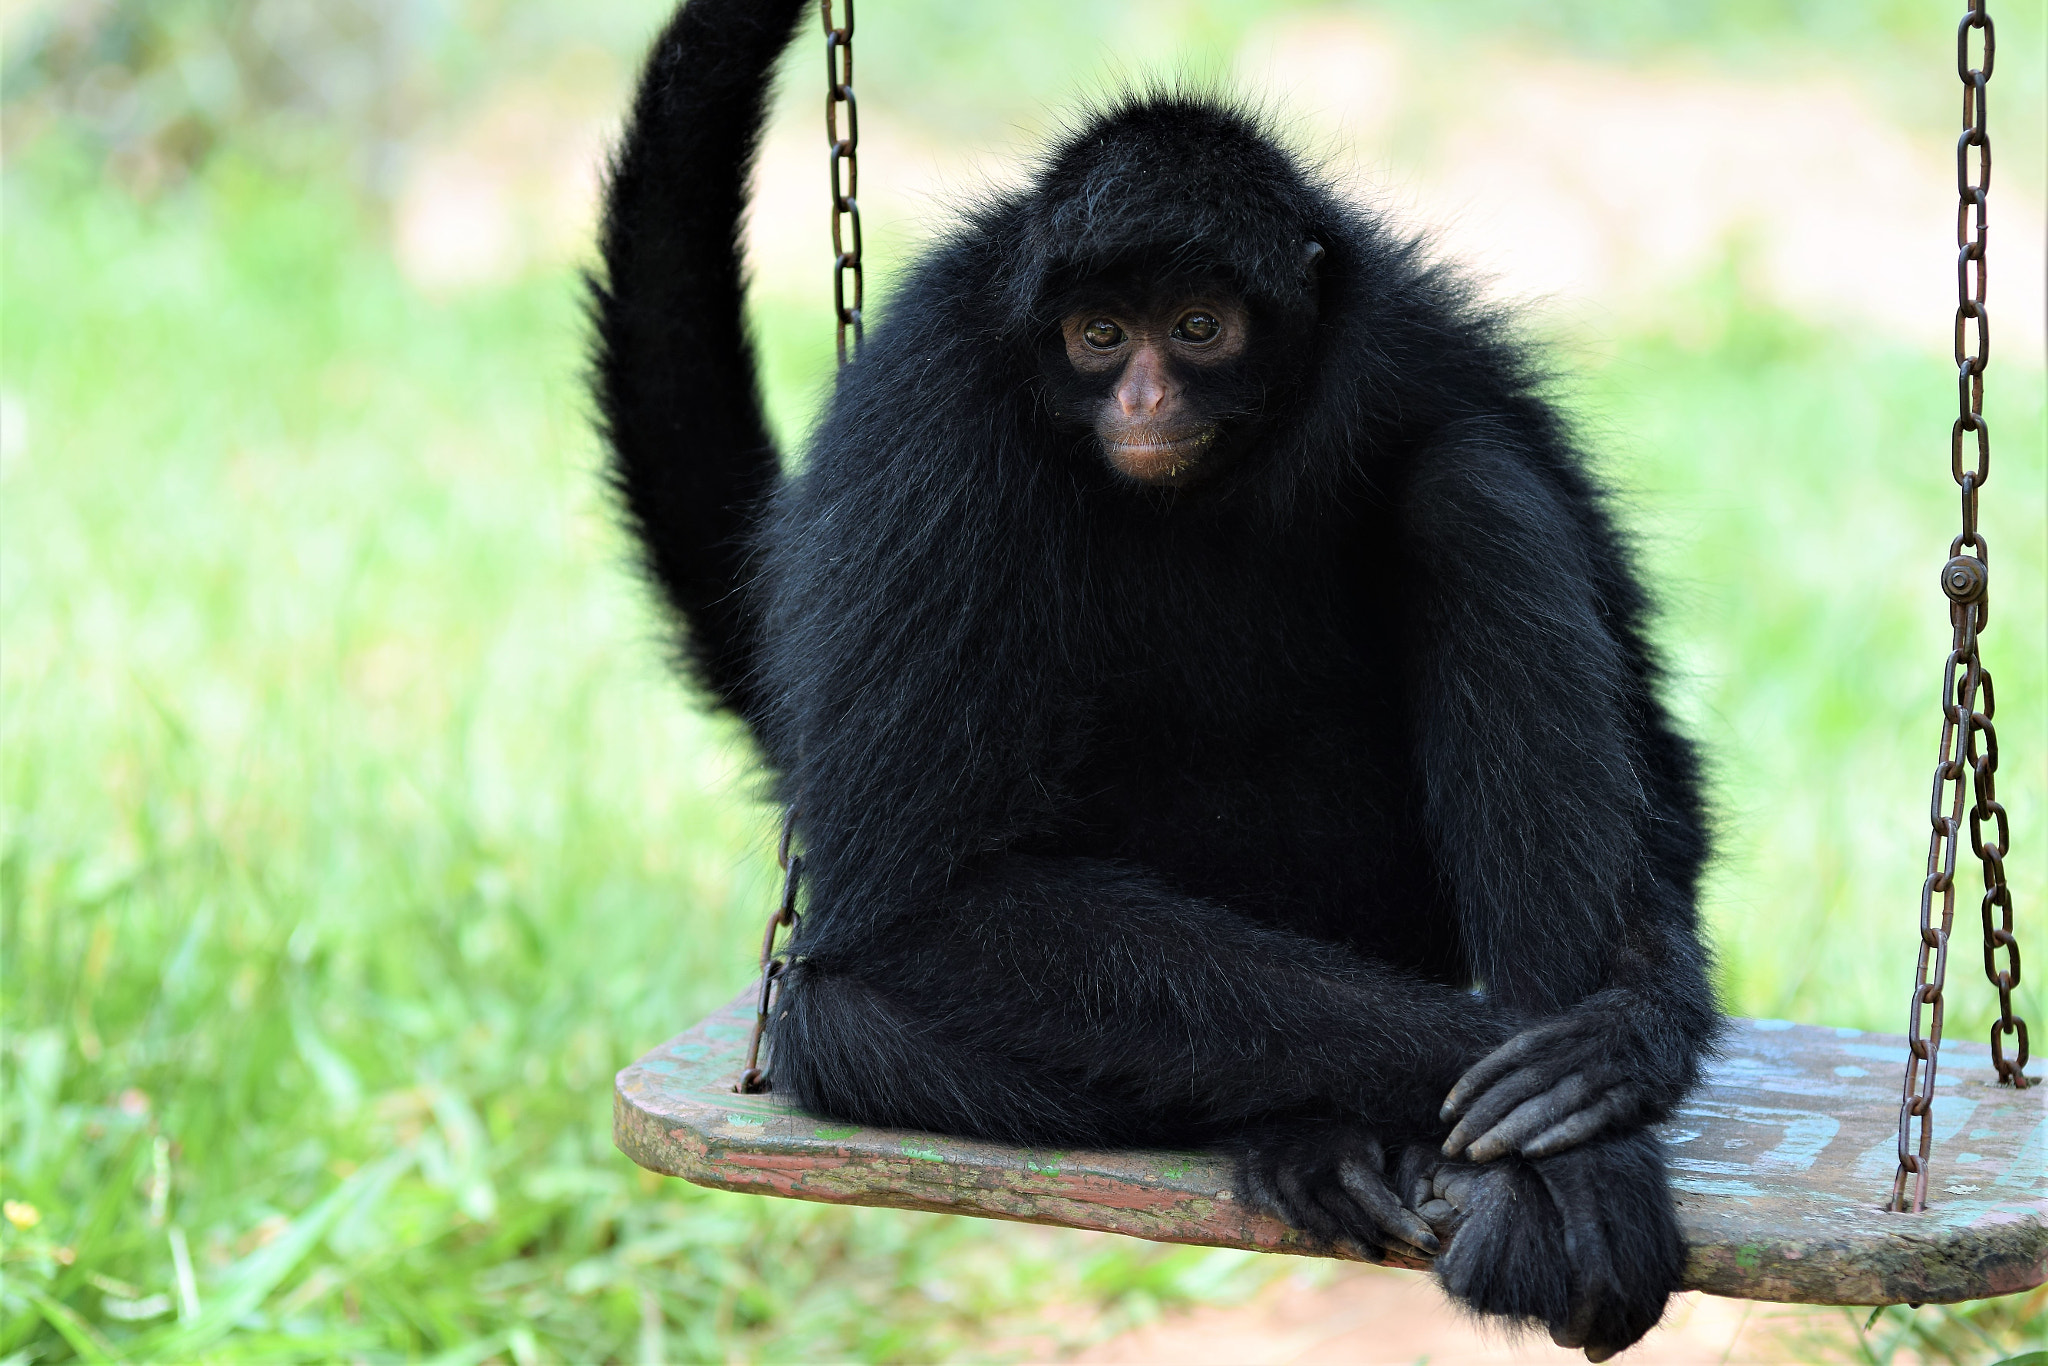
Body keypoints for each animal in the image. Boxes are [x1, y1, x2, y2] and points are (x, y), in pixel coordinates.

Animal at [591, 2, 1718, 1357]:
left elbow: (1665, 767)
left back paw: (1561, 1183)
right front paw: (1519, 1056)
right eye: (1097, 336)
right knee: (833, 1019)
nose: (1139, 394)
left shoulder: (1420, 342)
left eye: (1196, 328)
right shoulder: (928, 402)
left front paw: (1622, 1037)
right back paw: (1338, 1139)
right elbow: (916, 895)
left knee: (1470, 491)